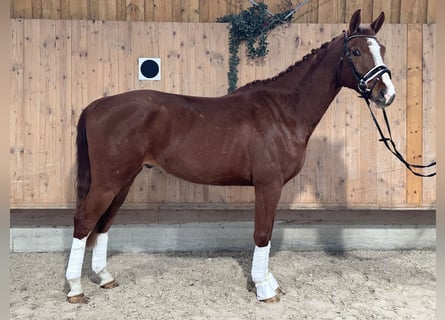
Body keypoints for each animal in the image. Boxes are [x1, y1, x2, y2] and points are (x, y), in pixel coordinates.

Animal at [67, 10, 396, 304]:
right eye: (355, 51)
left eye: (381, 49)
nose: (386, 94)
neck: (284, 111)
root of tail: (97, 105)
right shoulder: (268, 184)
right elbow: (262, 233)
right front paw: (264, 288)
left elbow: (268, 232)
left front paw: (266, 281)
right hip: (109, 181)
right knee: (85, 221)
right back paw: (75, 289)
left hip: (124, 179)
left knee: (104, 223)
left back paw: (104, 277)